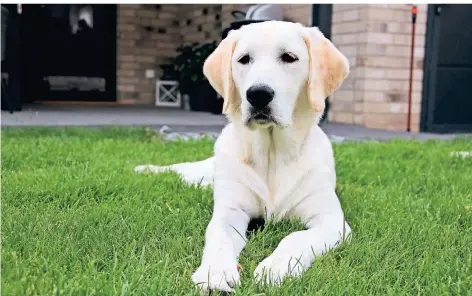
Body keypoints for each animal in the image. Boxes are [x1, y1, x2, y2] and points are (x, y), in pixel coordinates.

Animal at [135, 21, 352, 294]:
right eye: (244, 59)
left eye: (289, 57)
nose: (258, 94)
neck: (272, 153)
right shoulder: (229, 211)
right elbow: (219, 239)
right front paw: (214, 272)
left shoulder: (332, 221)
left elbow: (296, 237)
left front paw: (276, 267)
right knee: (181, 169)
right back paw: (145, 169)